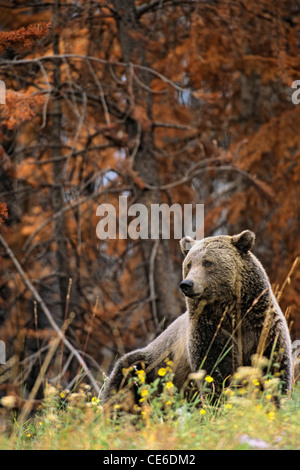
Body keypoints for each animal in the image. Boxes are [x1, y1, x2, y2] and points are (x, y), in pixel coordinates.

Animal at [102, 229, 292, 402]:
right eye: (189, 264)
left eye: (207, 262)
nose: (187, 284)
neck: (231, 312)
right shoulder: (208, 329)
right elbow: (215, 370)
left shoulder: (261, 325)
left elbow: (272, 364)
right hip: (151, 363)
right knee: (124, 375)